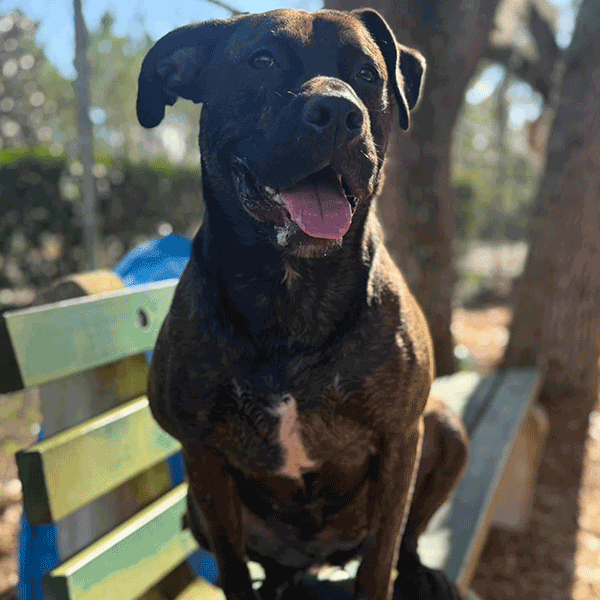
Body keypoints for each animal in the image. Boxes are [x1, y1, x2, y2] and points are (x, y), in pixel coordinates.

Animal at [137, 8, 468, 600]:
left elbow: (381, 558)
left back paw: (421, 573)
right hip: (194, 511)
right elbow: (233, 570)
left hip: (447, 431)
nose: (338, 113)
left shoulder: (399, 442)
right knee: (268, 566)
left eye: (367, 73)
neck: (294, 289)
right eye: (262, 61)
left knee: (406, 537)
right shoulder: (202, 457)